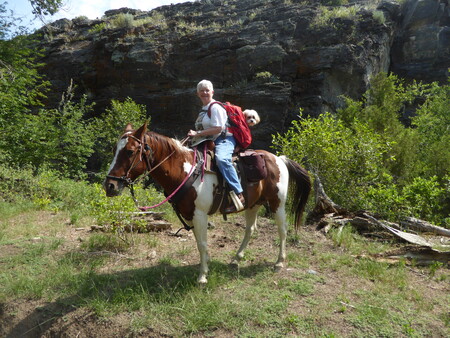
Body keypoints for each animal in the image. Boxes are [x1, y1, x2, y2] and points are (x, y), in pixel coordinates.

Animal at [103, 123, 312, 284]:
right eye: (114, 150)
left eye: (130, 151)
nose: (110, 185)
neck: (185, 170)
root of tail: (279, 159)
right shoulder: (190, 214)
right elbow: (198, 241)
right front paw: (207, 263)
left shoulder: (200, 214)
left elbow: (202, 243)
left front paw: (202, 276)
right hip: (253, 204)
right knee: (250, 230)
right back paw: (236, 259)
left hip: (277, 203)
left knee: (282, 230)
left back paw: (279, 262)